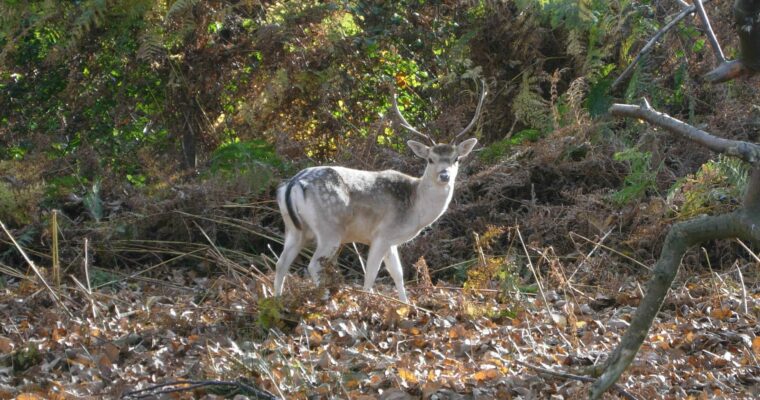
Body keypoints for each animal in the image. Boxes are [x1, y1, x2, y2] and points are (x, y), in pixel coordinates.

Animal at [274, 84, 486, 304]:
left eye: (456, 159)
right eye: (430, 159)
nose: (444, 175)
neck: (416, 209)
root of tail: (294, 183)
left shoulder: (391, 240)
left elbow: (398, 273)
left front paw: (407, 304)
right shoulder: (382, 234)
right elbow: (371, 274)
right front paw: (368, 301)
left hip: (294, 229)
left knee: (281, 263)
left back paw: (276, 299)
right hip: (329, 229)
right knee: (313, 264)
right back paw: (326, 300)